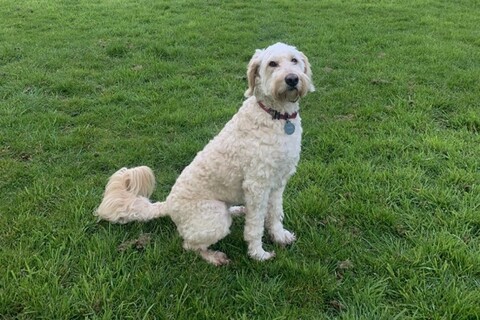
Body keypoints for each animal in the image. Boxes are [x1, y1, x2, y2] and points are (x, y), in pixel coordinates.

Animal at [96, 42, 316, 264]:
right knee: (190, 245)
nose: (292, 79)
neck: (276, 116)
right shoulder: (257, 185)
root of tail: (169, 205)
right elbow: (255, 226)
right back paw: (214, 257)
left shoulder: (278, 182)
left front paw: (279, 236)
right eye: (272, 64)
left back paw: (238, 209)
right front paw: (258, 254)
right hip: (215, 216)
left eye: (294, 60)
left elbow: (275, 213)